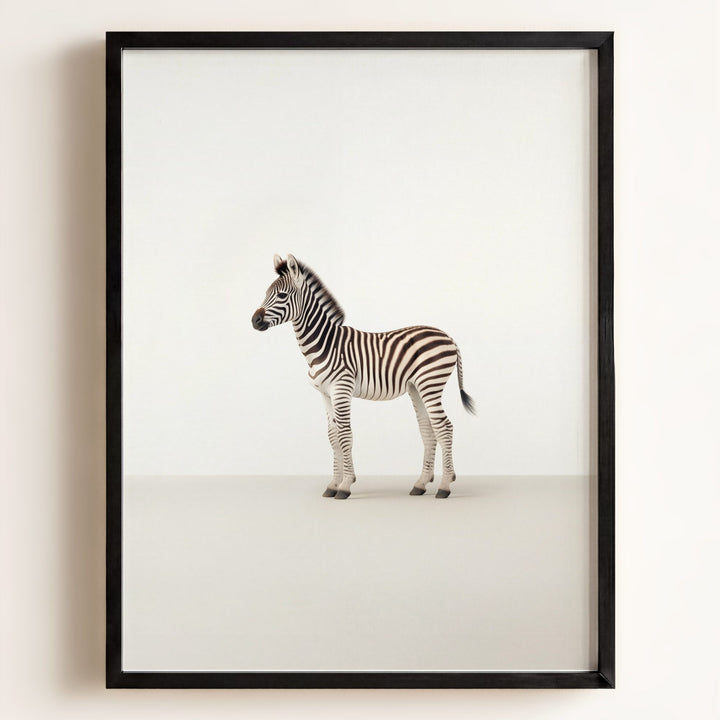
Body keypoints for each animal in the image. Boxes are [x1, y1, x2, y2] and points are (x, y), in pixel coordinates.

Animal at [251, 254, 475, 499]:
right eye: (265, 293)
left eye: (281, 295)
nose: (254, 321)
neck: (324, 344)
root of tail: (449, 337)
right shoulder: (325, 394)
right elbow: (332, 436)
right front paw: (333, 484)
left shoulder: (341, 389)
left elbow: (345, 434)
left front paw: (345, 485)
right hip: (417, 387)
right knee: (428, 429)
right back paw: (421, 483)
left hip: (430, 382)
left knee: (444, 427)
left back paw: (445, 486)